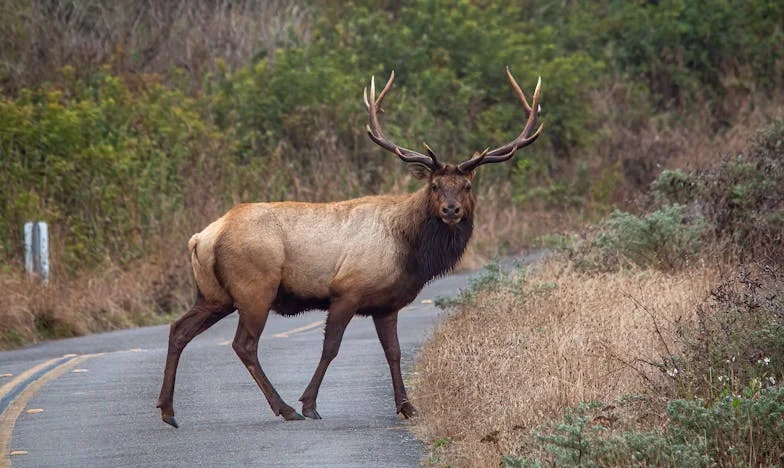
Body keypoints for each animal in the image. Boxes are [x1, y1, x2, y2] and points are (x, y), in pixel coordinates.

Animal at [156, 66, 544, 428]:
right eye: (435, 185)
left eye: (466, 186)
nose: (451, 210)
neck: (411, 252)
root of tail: (202, 237)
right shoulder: (347, 289)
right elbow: (331, 347)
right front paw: (309, 404)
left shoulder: (387, 304)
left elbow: (394, 352)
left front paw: (407, 407)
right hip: (255, 287)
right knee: (244, 344)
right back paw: (284, 408)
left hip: (214, 294)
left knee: (178, 330)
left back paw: (168, 410)